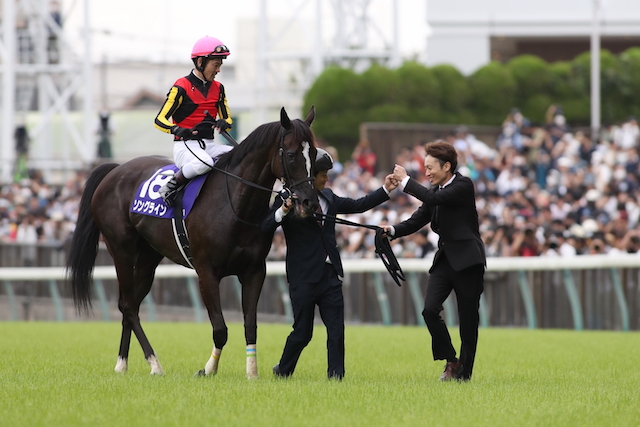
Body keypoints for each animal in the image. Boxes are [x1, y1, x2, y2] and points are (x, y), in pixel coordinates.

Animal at [67, 107, 320, 378]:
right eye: (291, 154)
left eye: (314, 154)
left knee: (129, 305)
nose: (309, 202)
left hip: (148, 258)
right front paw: (208, 369)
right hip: (121, 251)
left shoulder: (254, 270)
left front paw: (252, 372)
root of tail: (115, 170)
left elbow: (250, 325)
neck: (234, 203)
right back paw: (154, 363)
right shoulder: (206, 271)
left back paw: (122, 363)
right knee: (128, 305)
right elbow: (220, 329)